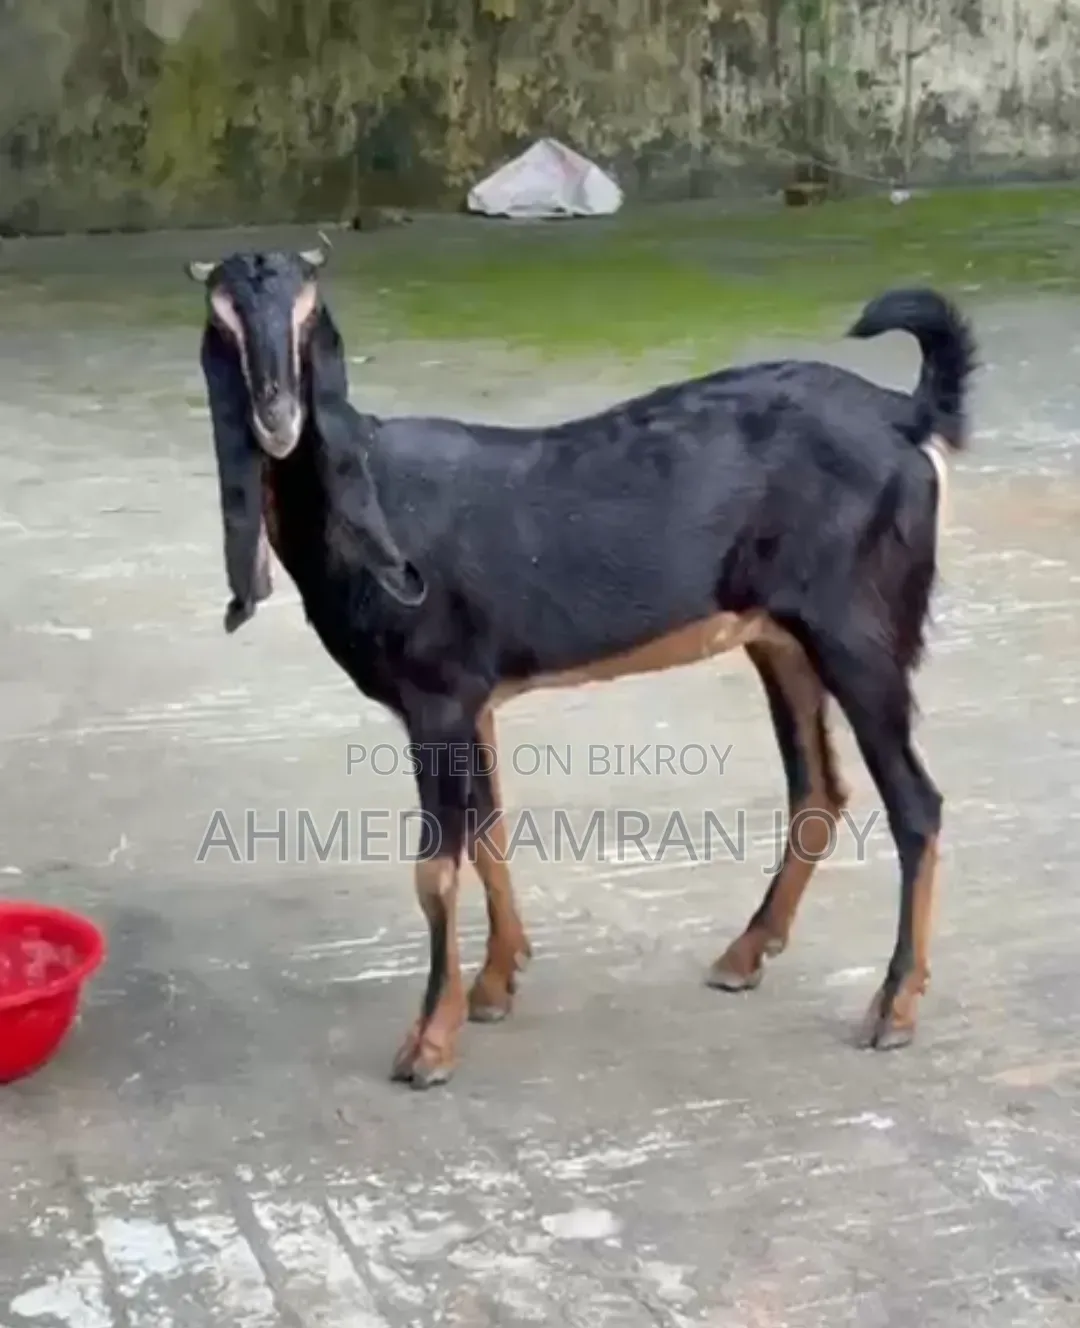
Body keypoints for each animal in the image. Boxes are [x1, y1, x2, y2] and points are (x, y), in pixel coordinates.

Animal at [185, 248, 976, 1090]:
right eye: (221, 315)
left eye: (309, 313)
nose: (277, 418)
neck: (364, 500)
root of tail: (907, 417)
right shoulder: (474, 700)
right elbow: (489, 831)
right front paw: (495, 985)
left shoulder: (435, 699)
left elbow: (436, 869)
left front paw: (429, 1044)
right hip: (783, 638)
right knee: (819, 789)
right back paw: (744, 955)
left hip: (858, 633)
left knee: (916, 804)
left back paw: (893, 1008)